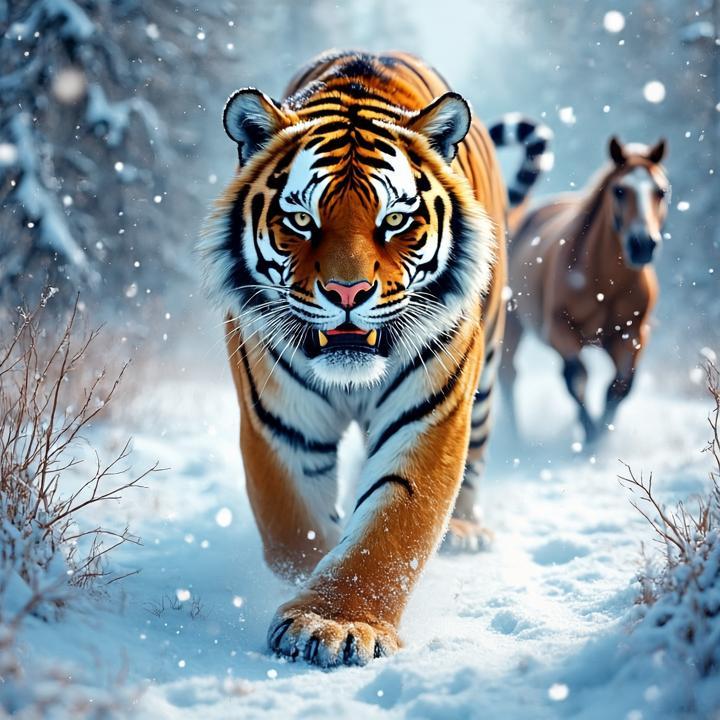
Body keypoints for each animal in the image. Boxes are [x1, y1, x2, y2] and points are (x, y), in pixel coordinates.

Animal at [201, 50, 552, 667]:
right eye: (301, 220)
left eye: (394, 220)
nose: (348, 292)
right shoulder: (279, 422)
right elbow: (293, 531)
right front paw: (311, 588)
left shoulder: (429, 413)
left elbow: (392, 524)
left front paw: (334, 623)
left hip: (486, 378)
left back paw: (465, 531)